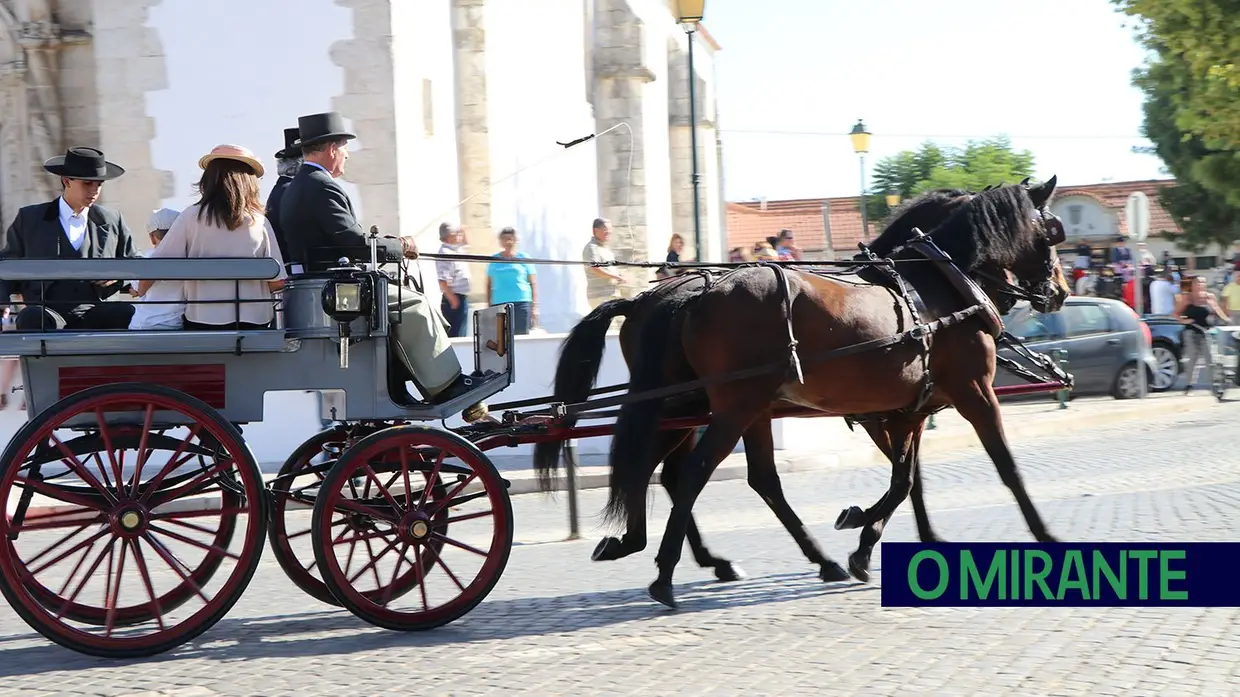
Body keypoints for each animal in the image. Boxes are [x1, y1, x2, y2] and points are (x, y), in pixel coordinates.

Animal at [543, 179, 1076, 607]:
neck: (938, 287)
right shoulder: (972, 393)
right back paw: (666, 574)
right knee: (691, 474)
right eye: (1052, 232)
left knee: (721, 475)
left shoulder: (908, 410)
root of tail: (687, 297)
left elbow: (906, 479)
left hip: (719, 407)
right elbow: (1001, 467)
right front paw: (1046, 535)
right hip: (729, 406)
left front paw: (870, 536)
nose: (1061, 290)